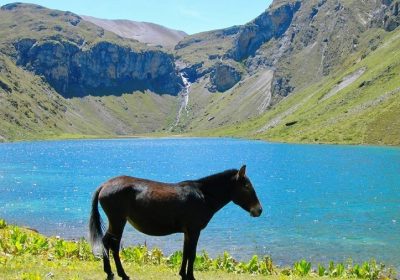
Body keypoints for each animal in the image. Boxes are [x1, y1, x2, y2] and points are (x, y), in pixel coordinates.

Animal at [88, 165, 262, 278]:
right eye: (246, 186)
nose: (259, 210)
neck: (203, 196)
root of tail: (104, 185)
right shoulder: (194, 230)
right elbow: (192, 254)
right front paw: (191, 276)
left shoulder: (187, 231)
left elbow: (185, 252)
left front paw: (182, 274)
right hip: (118, 220)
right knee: (112, 244)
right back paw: (119, 273)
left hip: (117, 220)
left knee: (107, 242)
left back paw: (111, 272)